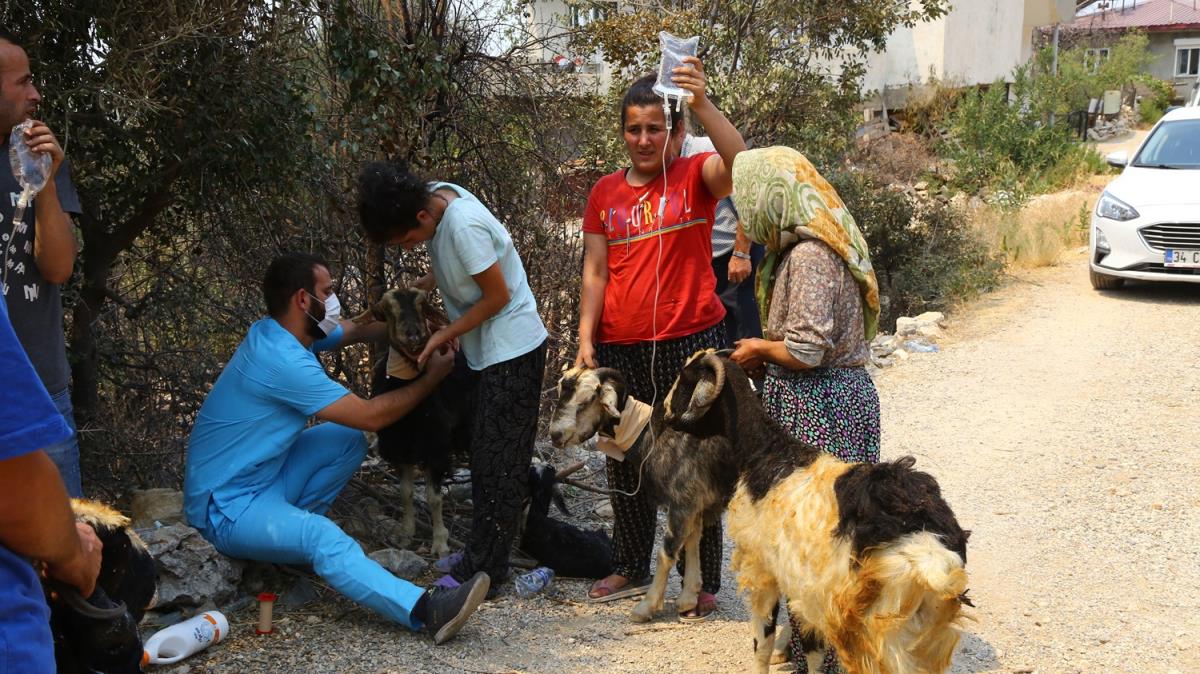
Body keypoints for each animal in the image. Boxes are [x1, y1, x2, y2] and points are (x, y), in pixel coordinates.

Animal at [364, 285, 477, 554]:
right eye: (387, 310)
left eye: (422, 307)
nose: (414, 334)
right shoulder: (399, 446)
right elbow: (405, 492)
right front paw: (406, 533)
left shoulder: (435, 445)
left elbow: (433, 497)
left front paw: (440, 542)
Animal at [667, 347, 974, 666]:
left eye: (685, 378)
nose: (666, 415)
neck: (768, 455)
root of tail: (929, 551)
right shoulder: (807, 590)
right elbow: (812, 649)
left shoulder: (763, 569)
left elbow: (762, 643)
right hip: (924, 629)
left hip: (879, 631)